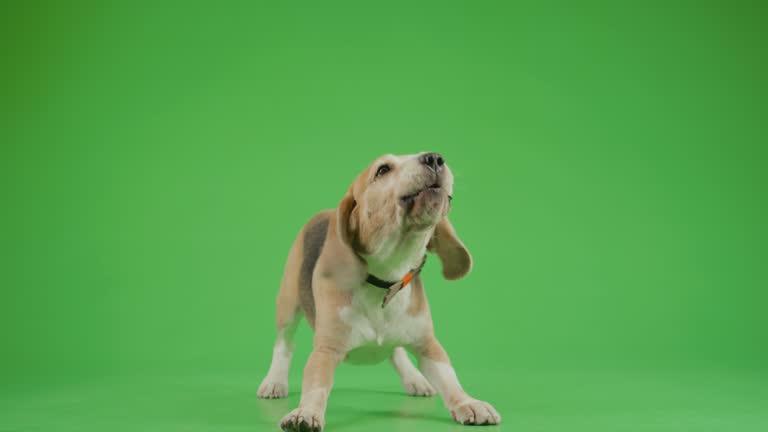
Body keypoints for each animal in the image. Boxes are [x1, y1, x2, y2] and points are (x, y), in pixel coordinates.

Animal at [255, 153, 500, 432]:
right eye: (383, 170)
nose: (435, 158)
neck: (387, 279)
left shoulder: (428, 344)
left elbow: (449, 378)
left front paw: (468, 403)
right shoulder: (325, 351)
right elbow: (315, 387)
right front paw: (305, 413)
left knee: (395, 350)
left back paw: (414, 378)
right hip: (288, 304)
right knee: (284, 343)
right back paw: (274, 381)